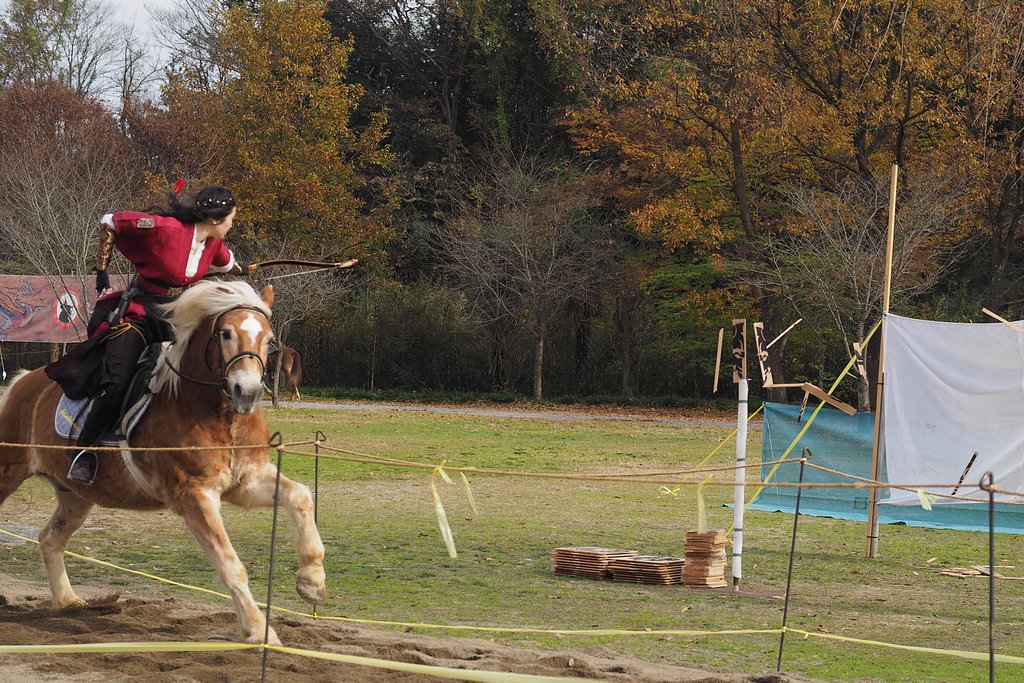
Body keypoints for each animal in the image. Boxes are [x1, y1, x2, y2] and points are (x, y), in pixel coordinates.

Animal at [0, 280, 326, 645]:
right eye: (225, 334)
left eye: (269, 340)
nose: (248, 392)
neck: (212, 412)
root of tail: (20, 383)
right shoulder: (194, 494)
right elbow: (229, 563)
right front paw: (259, 629)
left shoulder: (247, 482)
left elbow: (300, 496)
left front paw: (312, 581)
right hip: (7, 472)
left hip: (76, 495)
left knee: (50, 539)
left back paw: (69, 601)